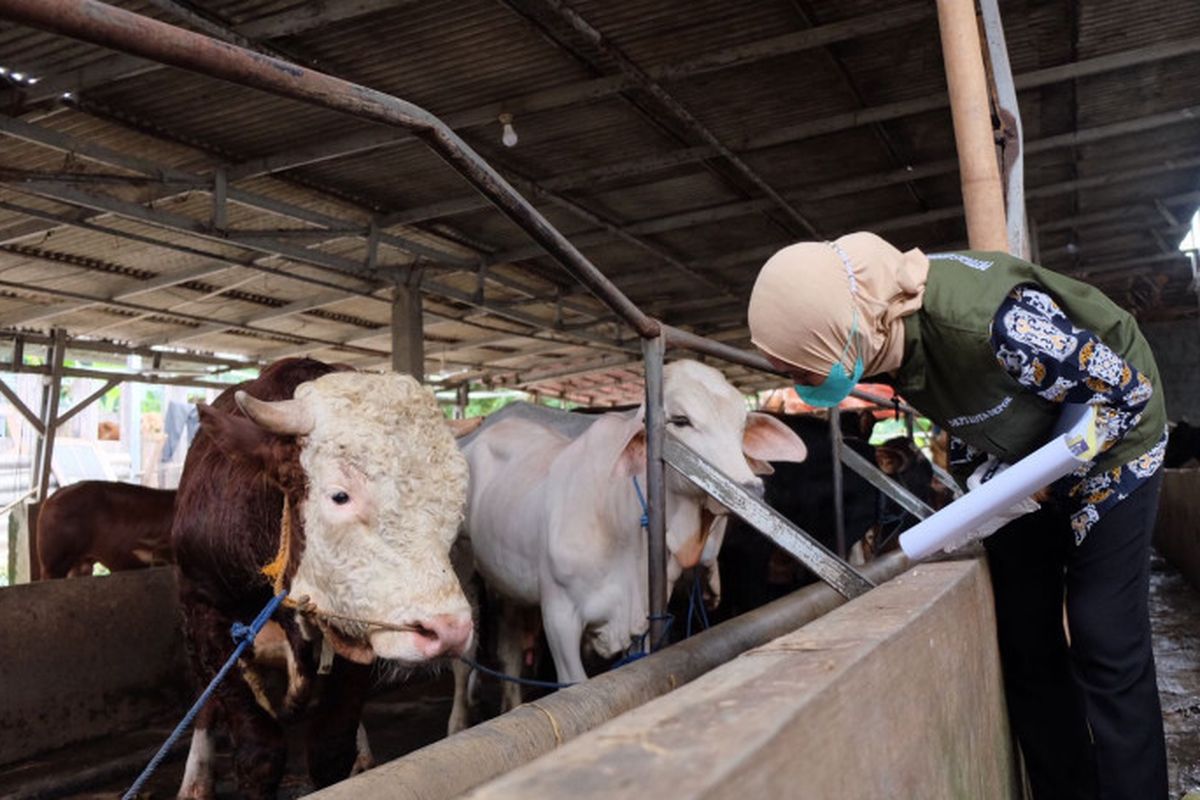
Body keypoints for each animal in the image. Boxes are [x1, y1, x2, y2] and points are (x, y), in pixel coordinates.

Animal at [451, 357, 806, 724]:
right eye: (681, 420)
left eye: (741, 425)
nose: (752, 489)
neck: (619, 519)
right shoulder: (560, 616)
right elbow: (574, 686)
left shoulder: (646, 617)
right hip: (462, 569)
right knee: (464, 659)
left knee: (509, 649)